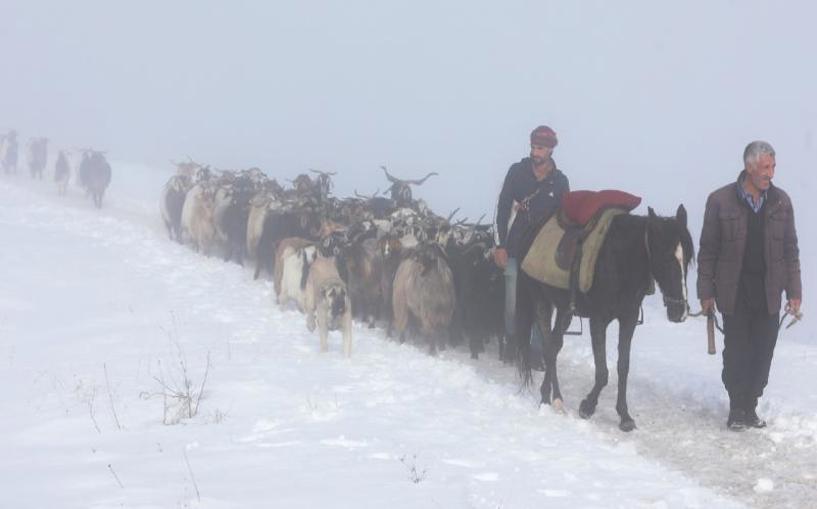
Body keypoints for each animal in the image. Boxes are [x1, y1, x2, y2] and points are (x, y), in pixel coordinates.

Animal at [516, 202, 688, 428]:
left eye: (689, 260)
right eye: (666, 258)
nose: (680, 312)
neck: (620, 261)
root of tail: (530, 231)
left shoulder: (628, 319)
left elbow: (623, 367)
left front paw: (624, 415)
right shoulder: (598, 320)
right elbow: (603, 372)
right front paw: (587, 406)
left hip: (564, 310)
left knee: (553, 346)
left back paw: (548, 395)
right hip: (541, 301)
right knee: (547, 349)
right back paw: (554, 399)